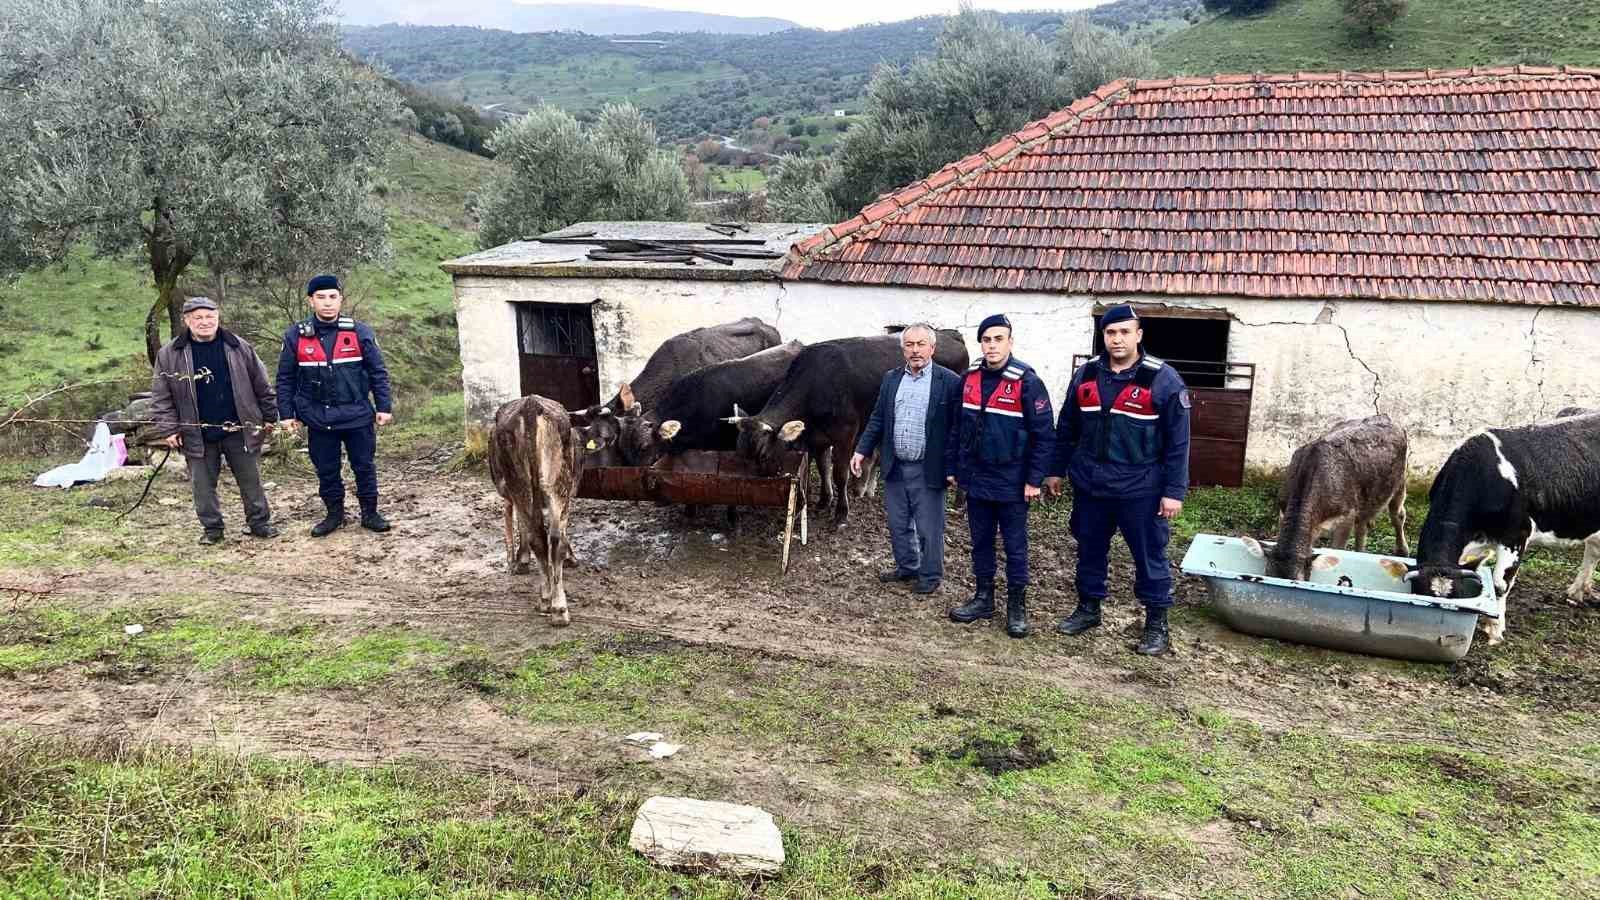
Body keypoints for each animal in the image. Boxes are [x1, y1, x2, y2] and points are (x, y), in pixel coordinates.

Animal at [483, 392, 614, 624]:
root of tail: (530, 405)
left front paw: (521, 560)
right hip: (557, 488)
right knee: (552, 540)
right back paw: (557, 606)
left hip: (524, 488)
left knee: (539, 538)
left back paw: (549, 601)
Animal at [732, 329, 966, 525]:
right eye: (739, 453)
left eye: (763, 455)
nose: (750, 493)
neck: (817, 383)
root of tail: (950, 335)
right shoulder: (818, 437)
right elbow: (824, 468)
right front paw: (824, 501)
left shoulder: (845, 434)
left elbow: (839, 474)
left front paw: (841, 513)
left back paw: (958, 502)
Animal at [1235, 416, 1414, 576]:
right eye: (1268, 574)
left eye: (1297, 580)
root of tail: (1386, 417)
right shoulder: (1283, 510)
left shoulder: (1347, 515)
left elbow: (1337, 549)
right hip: (1367, 498)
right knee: (1363, 526)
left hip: (1401, 480)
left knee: (1397, 515)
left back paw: (1402, 550)